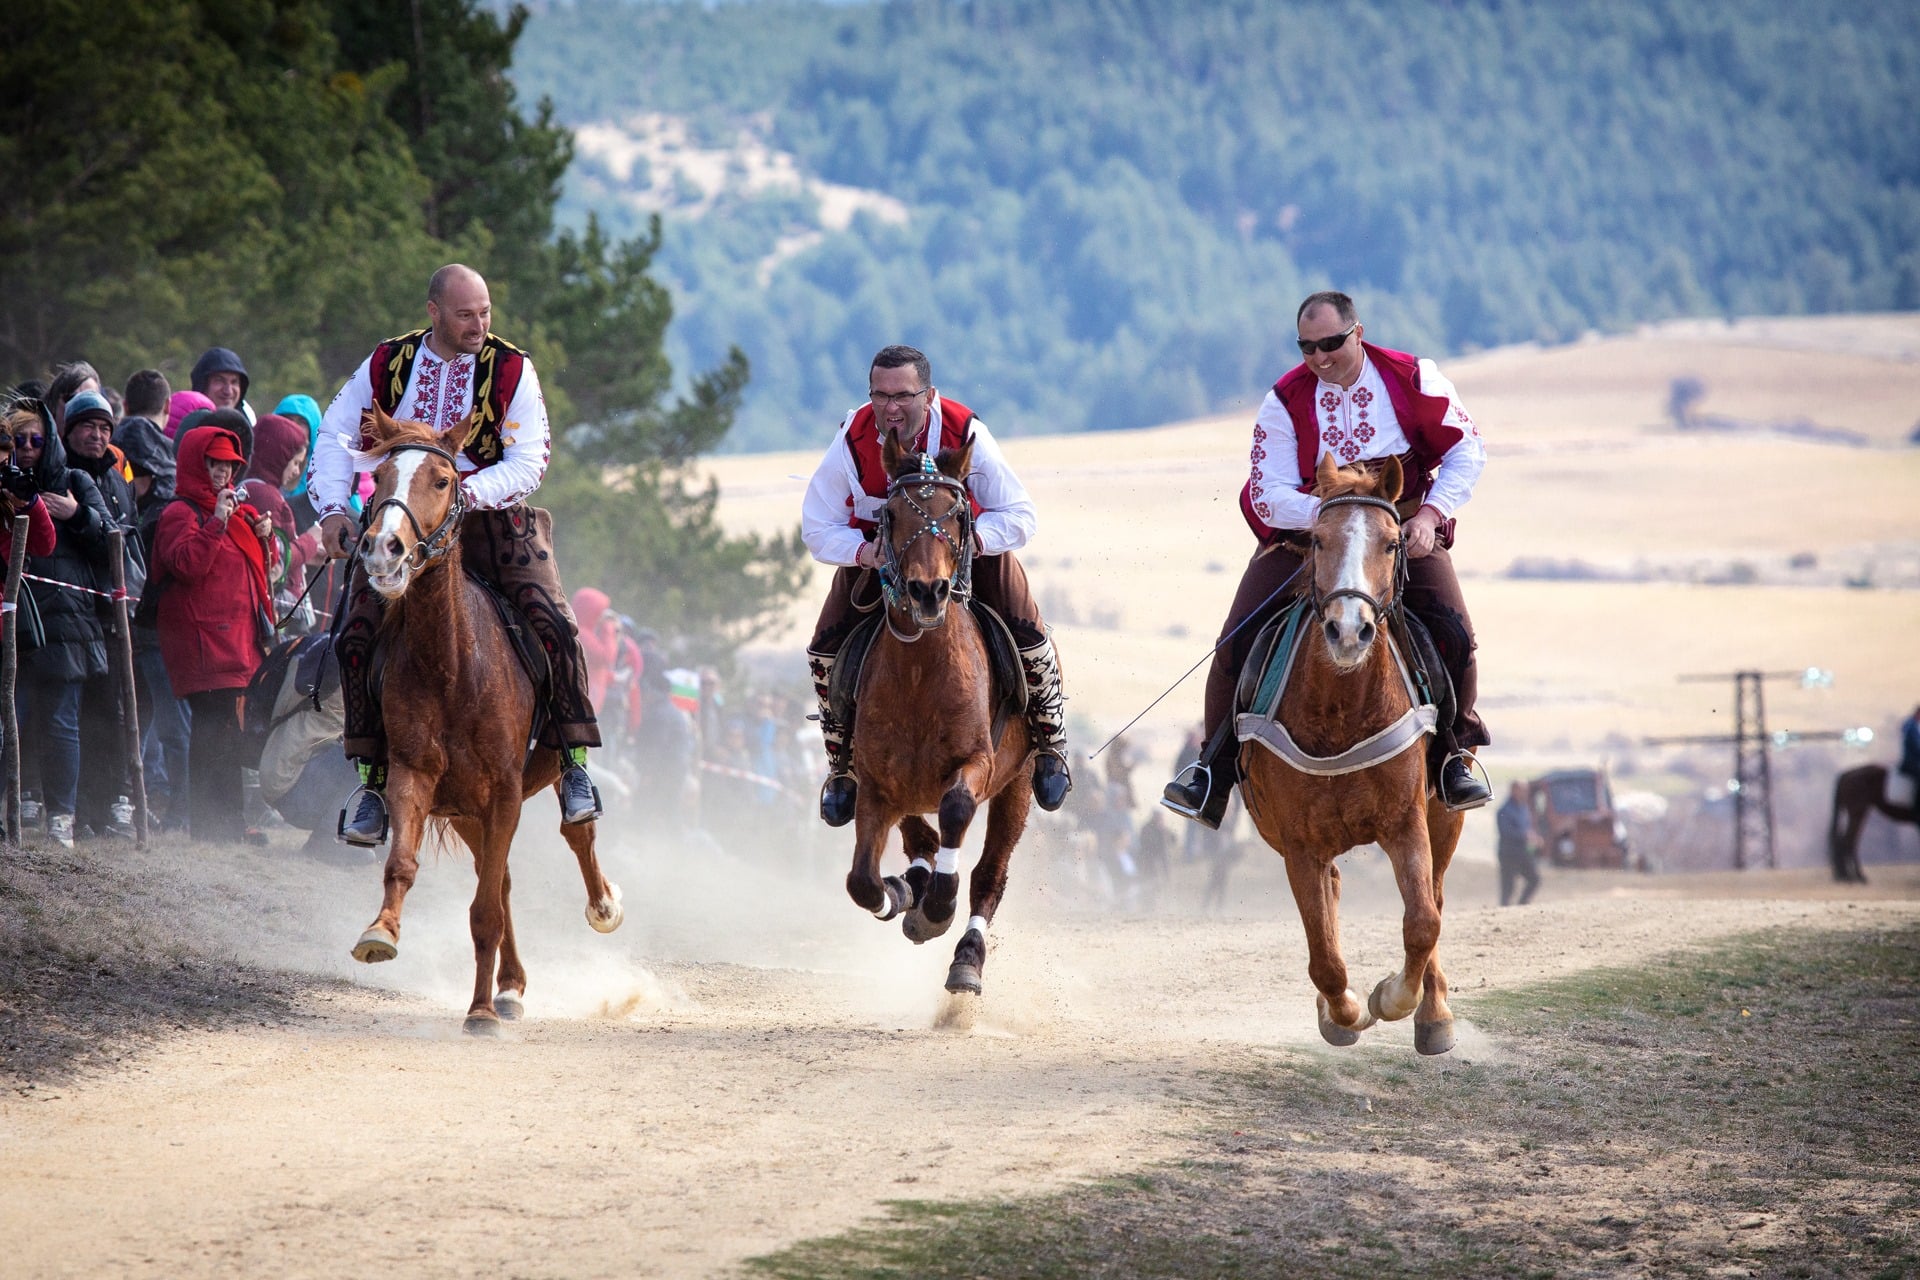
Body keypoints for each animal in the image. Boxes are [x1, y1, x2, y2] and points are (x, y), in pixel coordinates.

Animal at [337, 410, 622, 1028]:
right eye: (380, 476)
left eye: (444, 481)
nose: (383, 550)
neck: (452, 665)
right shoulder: (415, 775)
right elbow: (404, 865)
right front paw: (380, 933)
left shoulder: (505, 790)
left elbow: (485, 910)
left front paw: (481, 1014)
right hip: (466, 809)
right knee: (504, 878)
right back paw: (510, 986)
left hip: (542, 773)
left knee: (576, 833)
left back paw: (603, 905)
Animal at [848, 435, 1036, 997]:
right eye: (890, 514)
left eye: (956, 513)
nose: (927, 591)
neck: (919, 673)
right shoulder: (875, 783)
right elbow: (862, 882)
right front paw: (902, 896)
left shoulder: (980, 764)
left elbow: (955, 808)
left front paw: (937, 907)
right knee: (921, 843)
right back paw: (912, 886)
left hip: (1019, 785)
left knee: (989, 875)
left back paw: (966, 957)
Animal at [1236, 454, 1459, 1059]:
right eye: (1317, 539)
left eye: (1391, 542)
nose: (1348, 631)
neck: (1341, 711)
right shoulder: (1299, 843)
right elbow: (1326, 957)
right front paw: (1348, 1012)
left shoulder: (1407, 822)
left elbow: (1422, 922)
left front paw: (1394, 999)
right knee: (1332, 900)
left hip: (1444, 817)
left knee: (1434, 898)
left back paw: (1435, 1014)